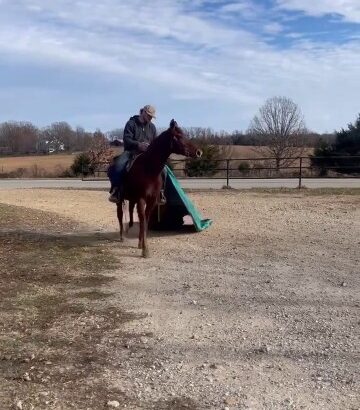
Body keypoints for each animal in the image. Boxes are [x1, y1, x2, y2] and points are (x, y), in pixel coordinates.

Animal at [116, 118, 201, 258]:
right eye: (179, 136)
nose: (199, 152)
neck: (148, 168)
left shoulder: (151, 200)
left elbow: (145, 220)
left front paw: (142, 244)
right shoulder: (141, 199)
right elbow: (142, 220)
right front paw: (145, 249)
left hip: (133, 199)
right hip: (119, 199)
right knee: (120, 214)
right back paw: (122, 236)